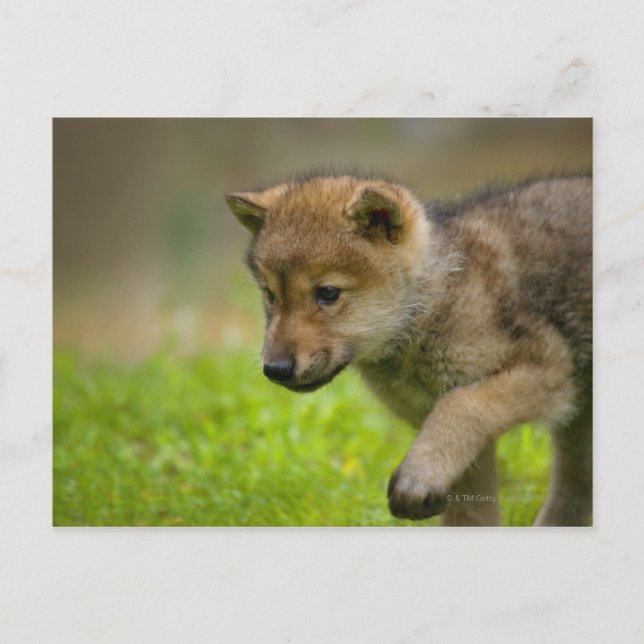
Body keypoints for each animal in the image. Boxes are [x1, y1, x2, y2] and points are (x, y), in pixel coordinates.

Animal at [226, 171, 592, 526]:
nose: (275, 369)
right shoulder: (460, 438)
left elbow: (461, 405)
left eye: (328, 293)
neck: (435, 304)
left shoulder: (549, 371)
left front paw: (418, 476)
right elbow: (470, 514)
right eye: (270, 296)